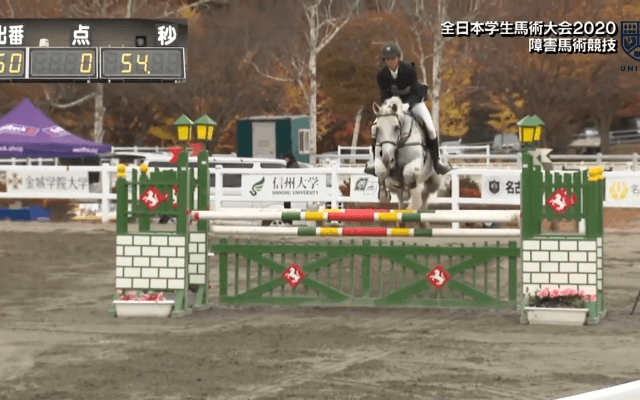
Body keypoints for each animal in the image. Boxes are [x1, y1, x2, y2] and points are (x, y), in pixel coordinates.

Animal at [371, 97, 442, 225]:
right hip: (394, 186)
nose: (387, 159)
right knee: (401, 199)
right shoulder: (380, 162)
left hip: (434, 181)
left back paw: (421, 217)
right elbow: (381, 171)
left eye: (396, 128)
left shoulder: (416, 163)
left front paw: (406, 193)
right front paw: (383, 195)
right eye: (377, 129)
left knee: (424, 194)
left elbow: (407, 171)